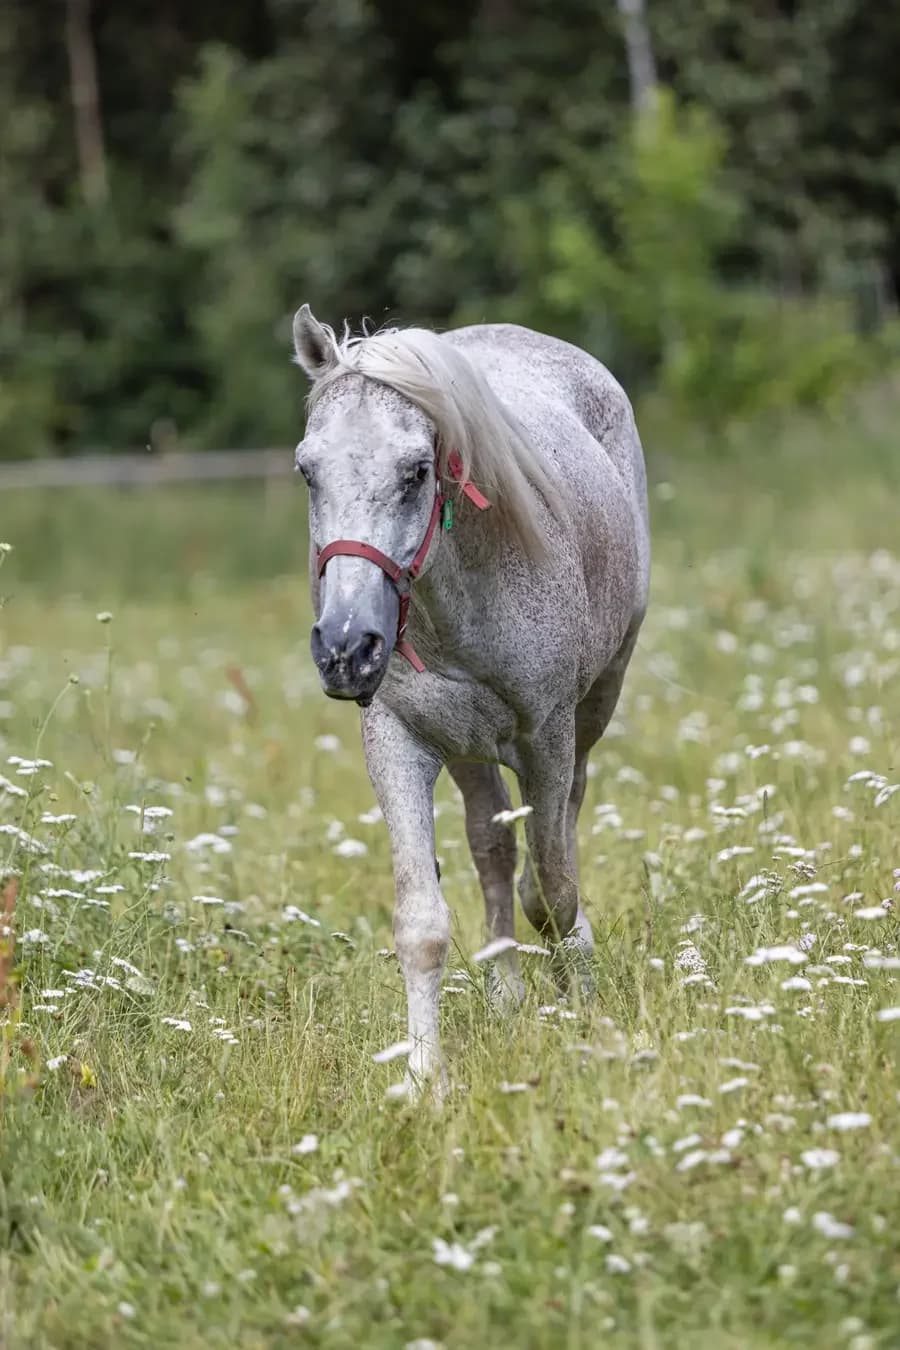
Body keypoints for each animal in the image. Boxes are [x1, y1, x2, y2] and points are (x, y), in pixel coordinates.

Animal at [292, 305, 650, 1096]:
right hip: (467, 750)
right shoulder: (399, 740)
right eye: (307, 470)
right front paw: (426, 1077)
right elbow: (422, 922)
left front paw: (583, 1014)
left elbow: (553, 890)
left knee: (562, 834)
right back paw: (506, 992)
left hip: (593, 711)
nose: (345, 648)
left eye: (417, 471)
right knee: (493, 847)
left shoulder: (548, 738)